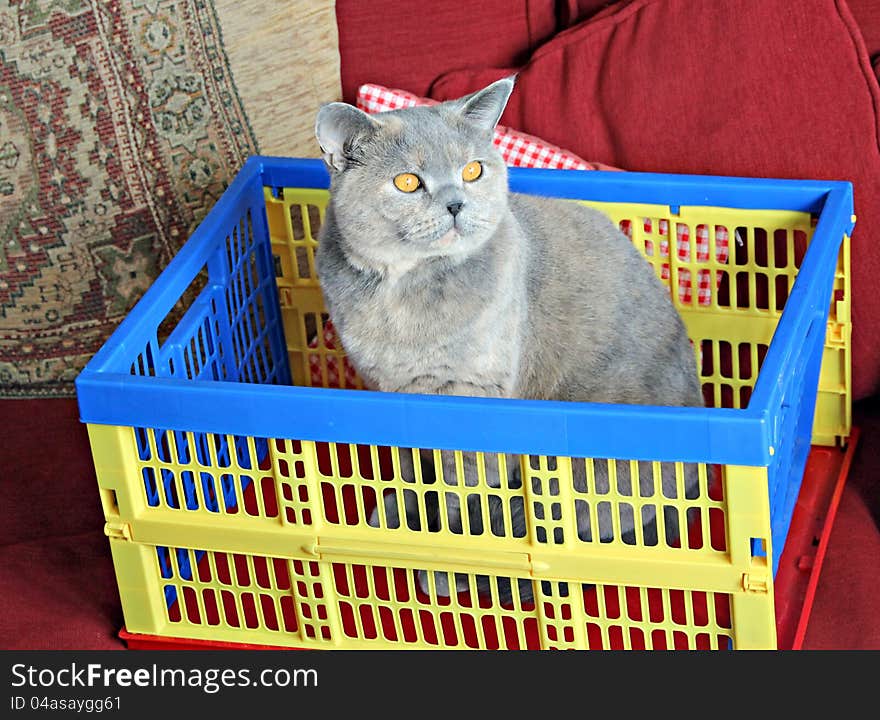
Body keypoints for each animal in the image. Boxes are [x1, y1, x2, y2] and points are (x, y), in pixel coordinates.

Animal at [312, 77, 704, 608]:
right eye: (408, 182)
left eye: (472, 170)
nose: (456, 203)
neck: (402, 293)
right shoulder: (391, 396)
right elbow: (414, 471)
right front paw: (408, 514)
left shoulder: (470, 402)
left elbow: (461, 498)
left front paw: (444, 553)